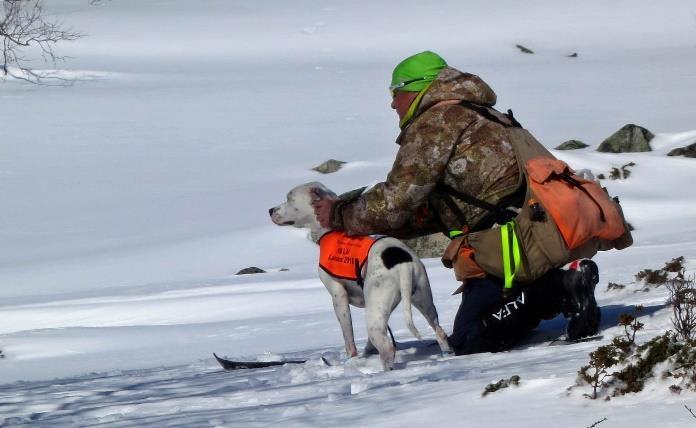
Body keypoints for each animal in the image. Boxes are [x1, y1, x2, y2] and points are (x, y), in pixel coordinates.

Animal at [266, 182, 452, 370]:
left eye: (289, 198)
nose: (270, 210)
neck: (329, 231)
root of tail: (401, 261)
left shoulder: (338, 295)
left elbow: (348, 336)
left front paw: (352, 359)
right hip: (422, 300)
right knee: (439, 331)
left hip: (375, 311)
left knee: (387, 347)